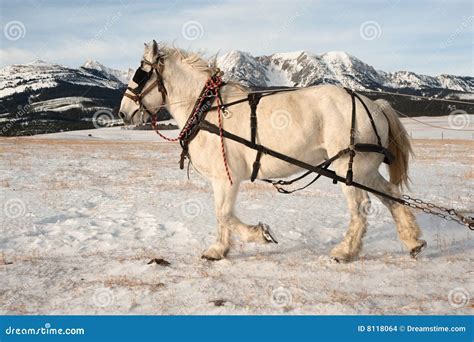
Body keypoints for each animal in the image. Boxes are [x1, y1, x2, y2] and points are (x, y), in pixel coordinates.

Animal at [118, 42, 426, 262]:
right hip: (365, 169)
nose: (122, 113)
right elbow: (220, 215)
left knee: (361, 207)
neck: (206, 108)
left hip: (350, 168)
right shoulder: (220, 180)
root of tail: (373, 104)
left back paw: (345, 251)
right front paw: (219, 250)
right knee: (391, 195)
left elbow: (225, 215)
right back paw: (413, 241)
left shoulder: (227, 177)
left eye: (140, 75)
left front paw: (260, 234)